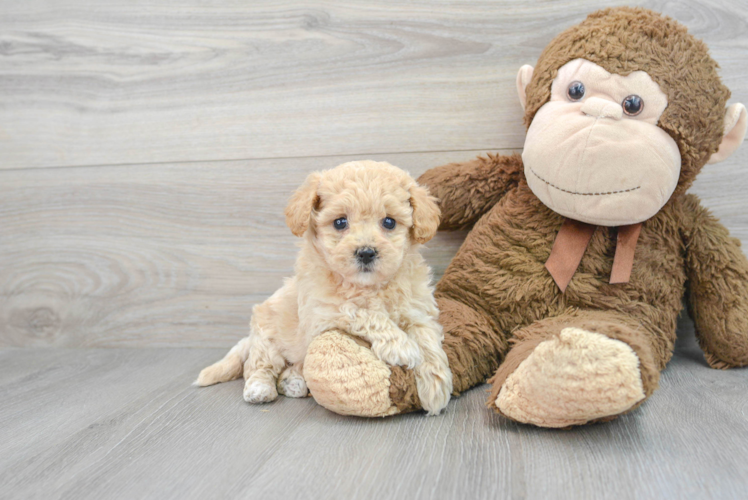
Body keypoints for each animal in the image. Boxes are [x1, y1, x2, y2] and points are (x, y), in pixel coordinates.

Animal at [194, 159, 450, 414]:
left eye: (389, 222)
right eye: (340, 222)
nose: (366, 252)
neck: (368, 286)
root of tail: (250, 336)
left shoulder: (417, 309)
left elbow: (426, 336)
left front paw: (436, 386)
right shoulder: (324, 310)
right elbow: (364, 313)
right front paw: (402, 347)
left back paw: (294, 382)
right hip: (267, 337)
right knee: (257, 365)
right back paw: (260, 389)